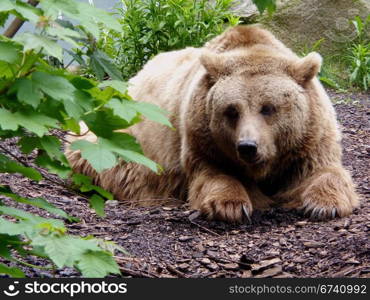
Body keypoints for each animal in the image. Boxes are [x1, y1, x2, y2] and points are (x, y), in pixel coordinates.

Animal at [66, 25, 358, 223]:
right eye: (232, 110)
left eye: (268, 108)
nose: (248, 147)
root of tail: (136, 75)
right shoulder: (199, 136)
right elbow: (212, 174)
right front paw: (231, 205)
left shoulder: (310, 136)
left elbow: (323, 169)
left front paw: (323, 204)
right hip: (120, 134)